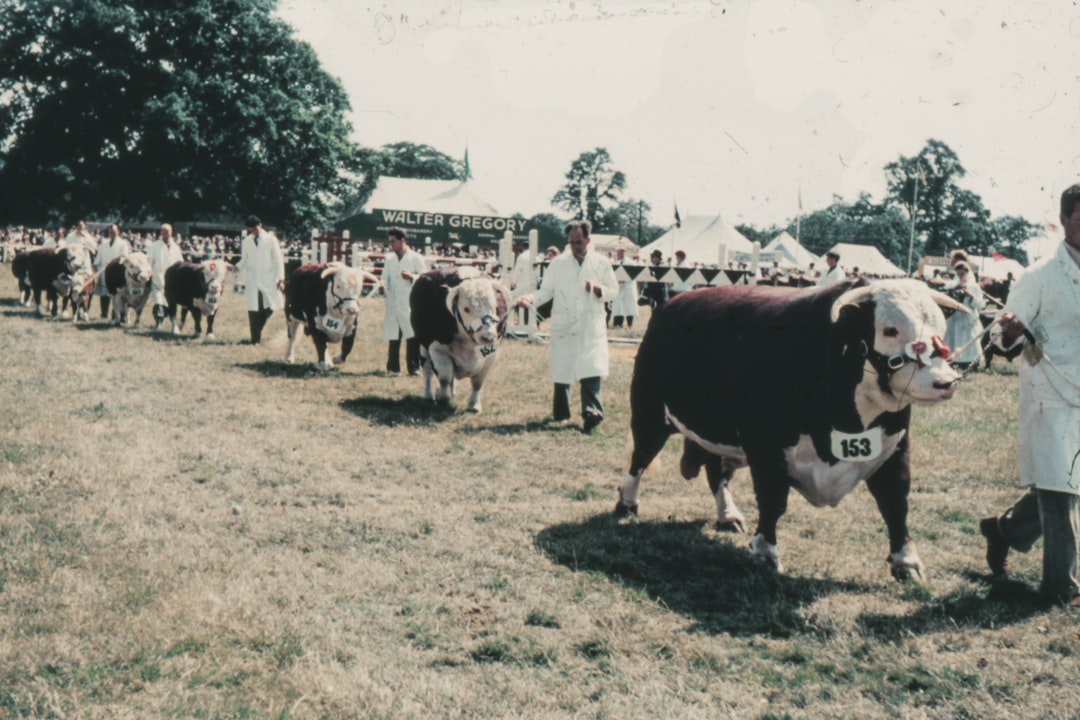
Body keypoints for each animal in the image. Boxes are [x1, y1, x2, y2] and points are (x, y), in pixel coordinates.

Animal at [412, 266, 514, 414]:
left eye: (494, 306)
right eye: (466, 309)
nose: (488, 336)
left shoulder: (491, 355)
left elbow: (477, 382)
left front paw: (474, 405)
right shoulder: (435, 347)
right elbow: (444, 376)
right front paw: (441, 397)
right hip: (423, 347)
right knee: (427, 371)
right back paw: (428, 395)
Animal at [617, 278, 972, 582]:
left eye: (942, 329)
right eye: (890, 329)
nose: (945, 382)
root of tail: (674, 302)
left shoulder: (894, 446)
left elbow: (895, 502)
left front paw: (906, 561)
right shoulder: (765, 447)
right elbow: (772, 500)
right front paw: (765, 553)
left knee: (715, 472)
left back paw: (727, 515)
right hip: (649, 413)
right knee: (640, 459)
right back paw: (628, 503)